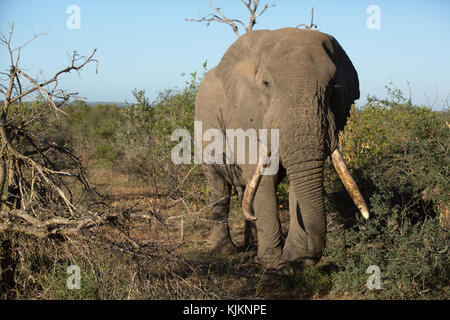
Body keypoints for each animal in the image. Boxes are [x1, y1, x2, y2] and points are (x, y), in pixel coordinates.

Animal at [195, 28, 368, 272]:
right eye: (266, 83)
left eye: (334, 88)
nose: (311, 259)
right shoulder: (241, 114)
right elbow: (263, 176)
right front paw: (271, 263)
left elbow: (300, 181)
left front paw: (292, 265)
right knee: (219, 186)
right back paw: (224, 251)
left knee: (244, 190)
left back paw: (252, 245)